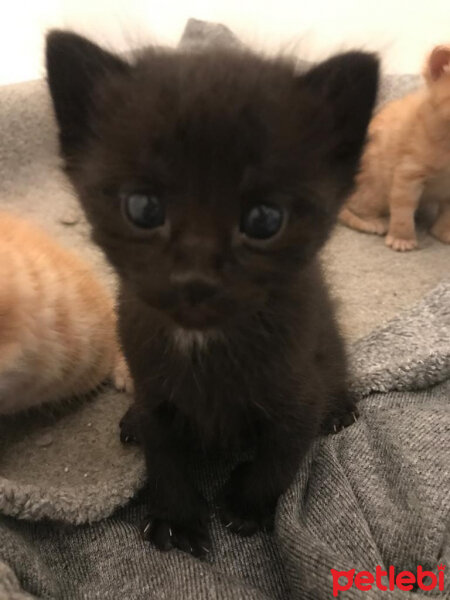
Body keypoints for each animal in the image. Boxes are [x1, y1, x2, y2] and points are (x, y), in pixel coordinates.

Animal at [44, 31, 376, 556]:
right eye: (143, 208)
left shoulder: (297, 396)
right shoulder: (154, 389)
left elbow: (279, 460)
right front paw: (176, 520)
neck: (202, 344)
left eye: (264, 219)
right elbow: (163, 458)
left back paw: (339, 407)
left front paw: (245, 507)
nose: (194, 279)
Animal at [340, 45, 450, 251]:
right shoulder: (407, 172)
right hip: (375, 185)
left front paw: (442, 232)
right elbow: (402, 209)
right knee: (349, 208)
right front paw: (402, 238)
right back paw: (370, 222)